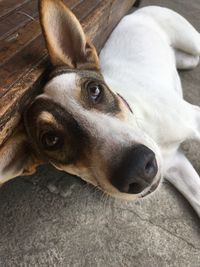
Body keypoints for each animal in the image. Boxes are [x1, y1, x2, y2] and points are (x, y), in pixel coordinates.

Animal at [0, 0, 200, 218]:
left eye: (95, 89)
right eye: (51, 139)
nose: (138, 168)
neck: (140, 121)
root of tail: (135, 12)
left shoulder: (194, 118)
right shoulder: (174, 163)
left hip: (192, 41)